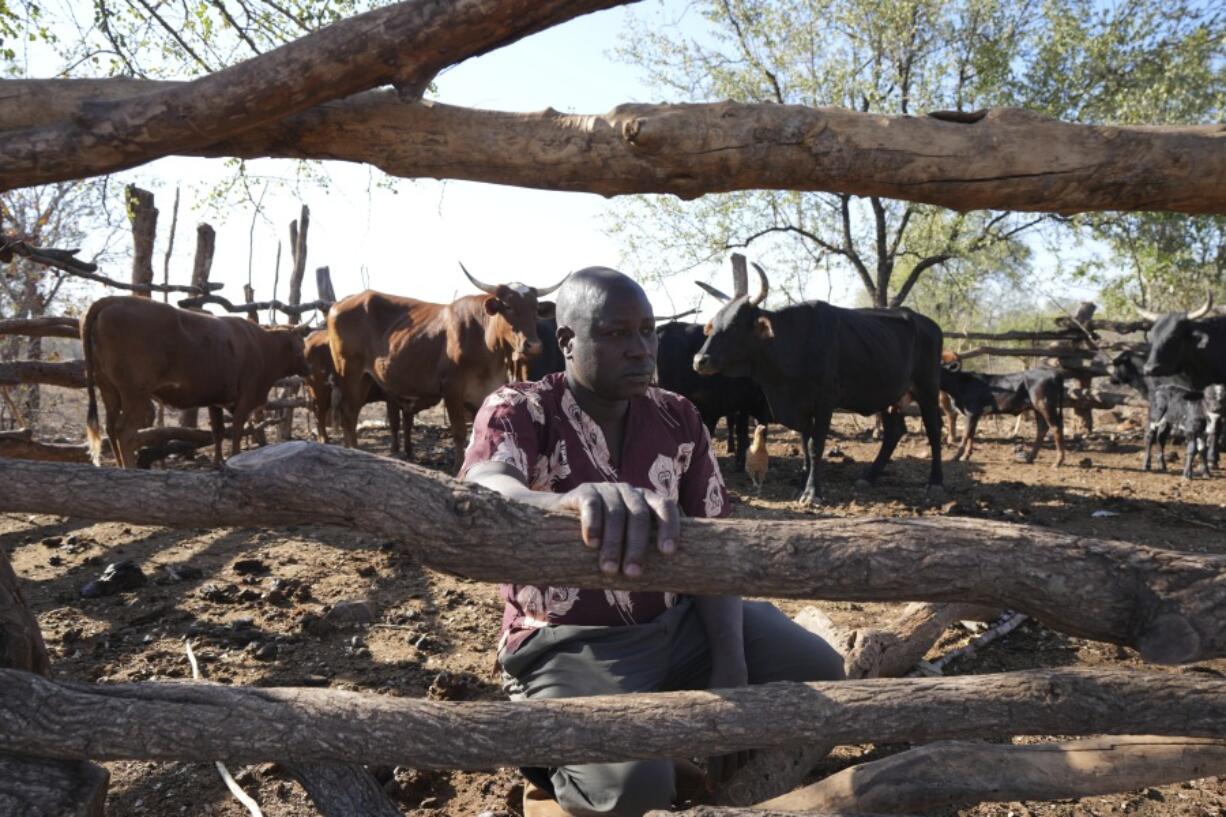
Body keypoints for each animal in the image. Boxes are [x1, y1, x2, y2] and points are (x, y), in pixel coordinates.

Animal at [83, 295, 308, 468]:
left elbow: (218, 432)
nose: (308, 366)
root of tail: (115, 299)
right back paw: (129, 468)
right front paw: (234, 459)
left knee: (111, 428)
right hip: (135, 393)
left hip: (109, 390)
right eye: (302, 344)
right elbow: (236, 431)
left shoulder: (216, 399)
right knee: (125, 431)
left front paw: (218, 464)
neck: (263, 346)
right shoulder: (245, 398)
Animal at [321, 263, 561, 461]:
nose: (534, 345)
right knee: (349, 416)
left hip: (364, 378)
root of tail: (340, 304)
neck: (485, 343)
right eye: (508, 306)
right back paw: (352, 451)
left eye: (535, 308)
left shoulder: (486, 390)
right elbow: (459, 432)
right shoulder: (452, 388)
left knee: (352, 414)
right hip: (349, 373)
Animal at [696, 263, 941, 502]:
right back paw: (868, 477)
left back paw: (934, 484)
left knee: (934, 429)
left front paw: (813, 492)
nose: (699, 360)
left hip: (928, 389)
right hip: (889, 396)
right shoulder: (801, 406)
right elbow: (805, 445)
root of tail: (929, 324)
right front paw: (800, 487)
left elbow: (816, 445)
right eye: (714, 323)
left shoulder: (825, 402)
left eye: (736, 324)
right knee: (894, 432)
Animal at [936, 363, 1064, 463]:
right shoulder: (975, 414)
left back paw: (1058, 462)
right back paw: (1030, 458)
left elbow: (965, 435)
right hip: (1037, 408)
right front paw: (966, 456)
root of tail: (1053, 373)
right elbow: (971, 435)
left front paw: (956, 457)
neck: (960, 385)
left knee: (1056, 427)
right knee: (1042, 429)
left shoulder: (971, 412)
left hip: (1045, 405)